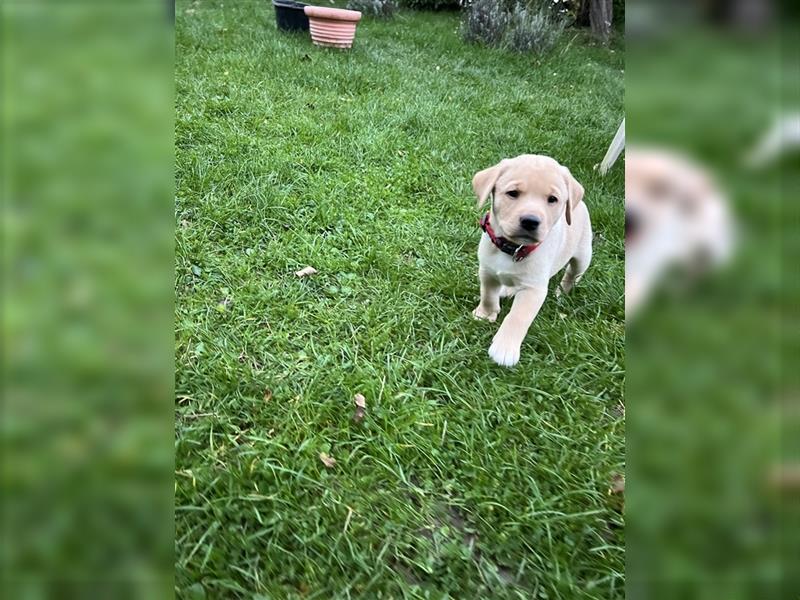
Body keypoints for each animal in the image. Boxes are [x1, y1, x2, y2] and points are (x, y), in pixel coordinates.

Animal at [472, 152, 592, 368]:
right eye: (512, 193)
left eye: (552, 199)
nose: (530, 221)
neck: (513, 248)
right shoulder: (487, 272)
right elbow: (487, 296)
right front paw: (485, 314)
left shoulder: (533, 290)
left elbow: (518, 317)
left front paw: (504, 348)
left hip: (583, 255)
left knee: (573, 274)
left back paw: (563, 292)